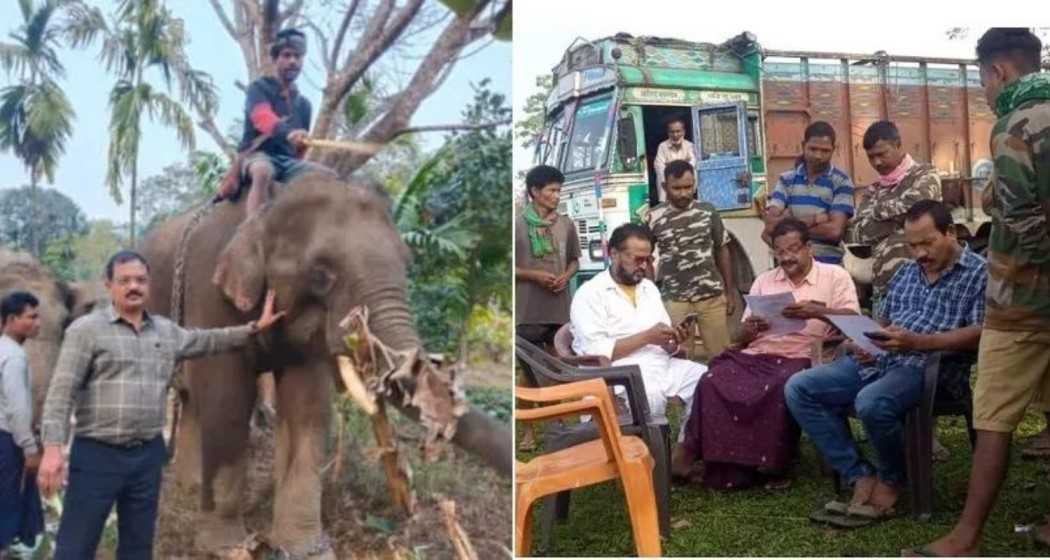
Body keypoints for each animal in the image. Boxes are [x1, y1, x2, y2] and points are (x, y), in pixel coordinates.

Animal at [139, 173, 512, 554]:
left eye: (407, 264)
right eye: (320, 274)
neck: (267, 208)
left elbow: (308, 407)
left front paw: (305, 550)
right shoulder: (210, 292)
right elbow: (228, 401)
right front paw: (227, 549)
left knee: (191, 401)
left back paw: (189, 487)